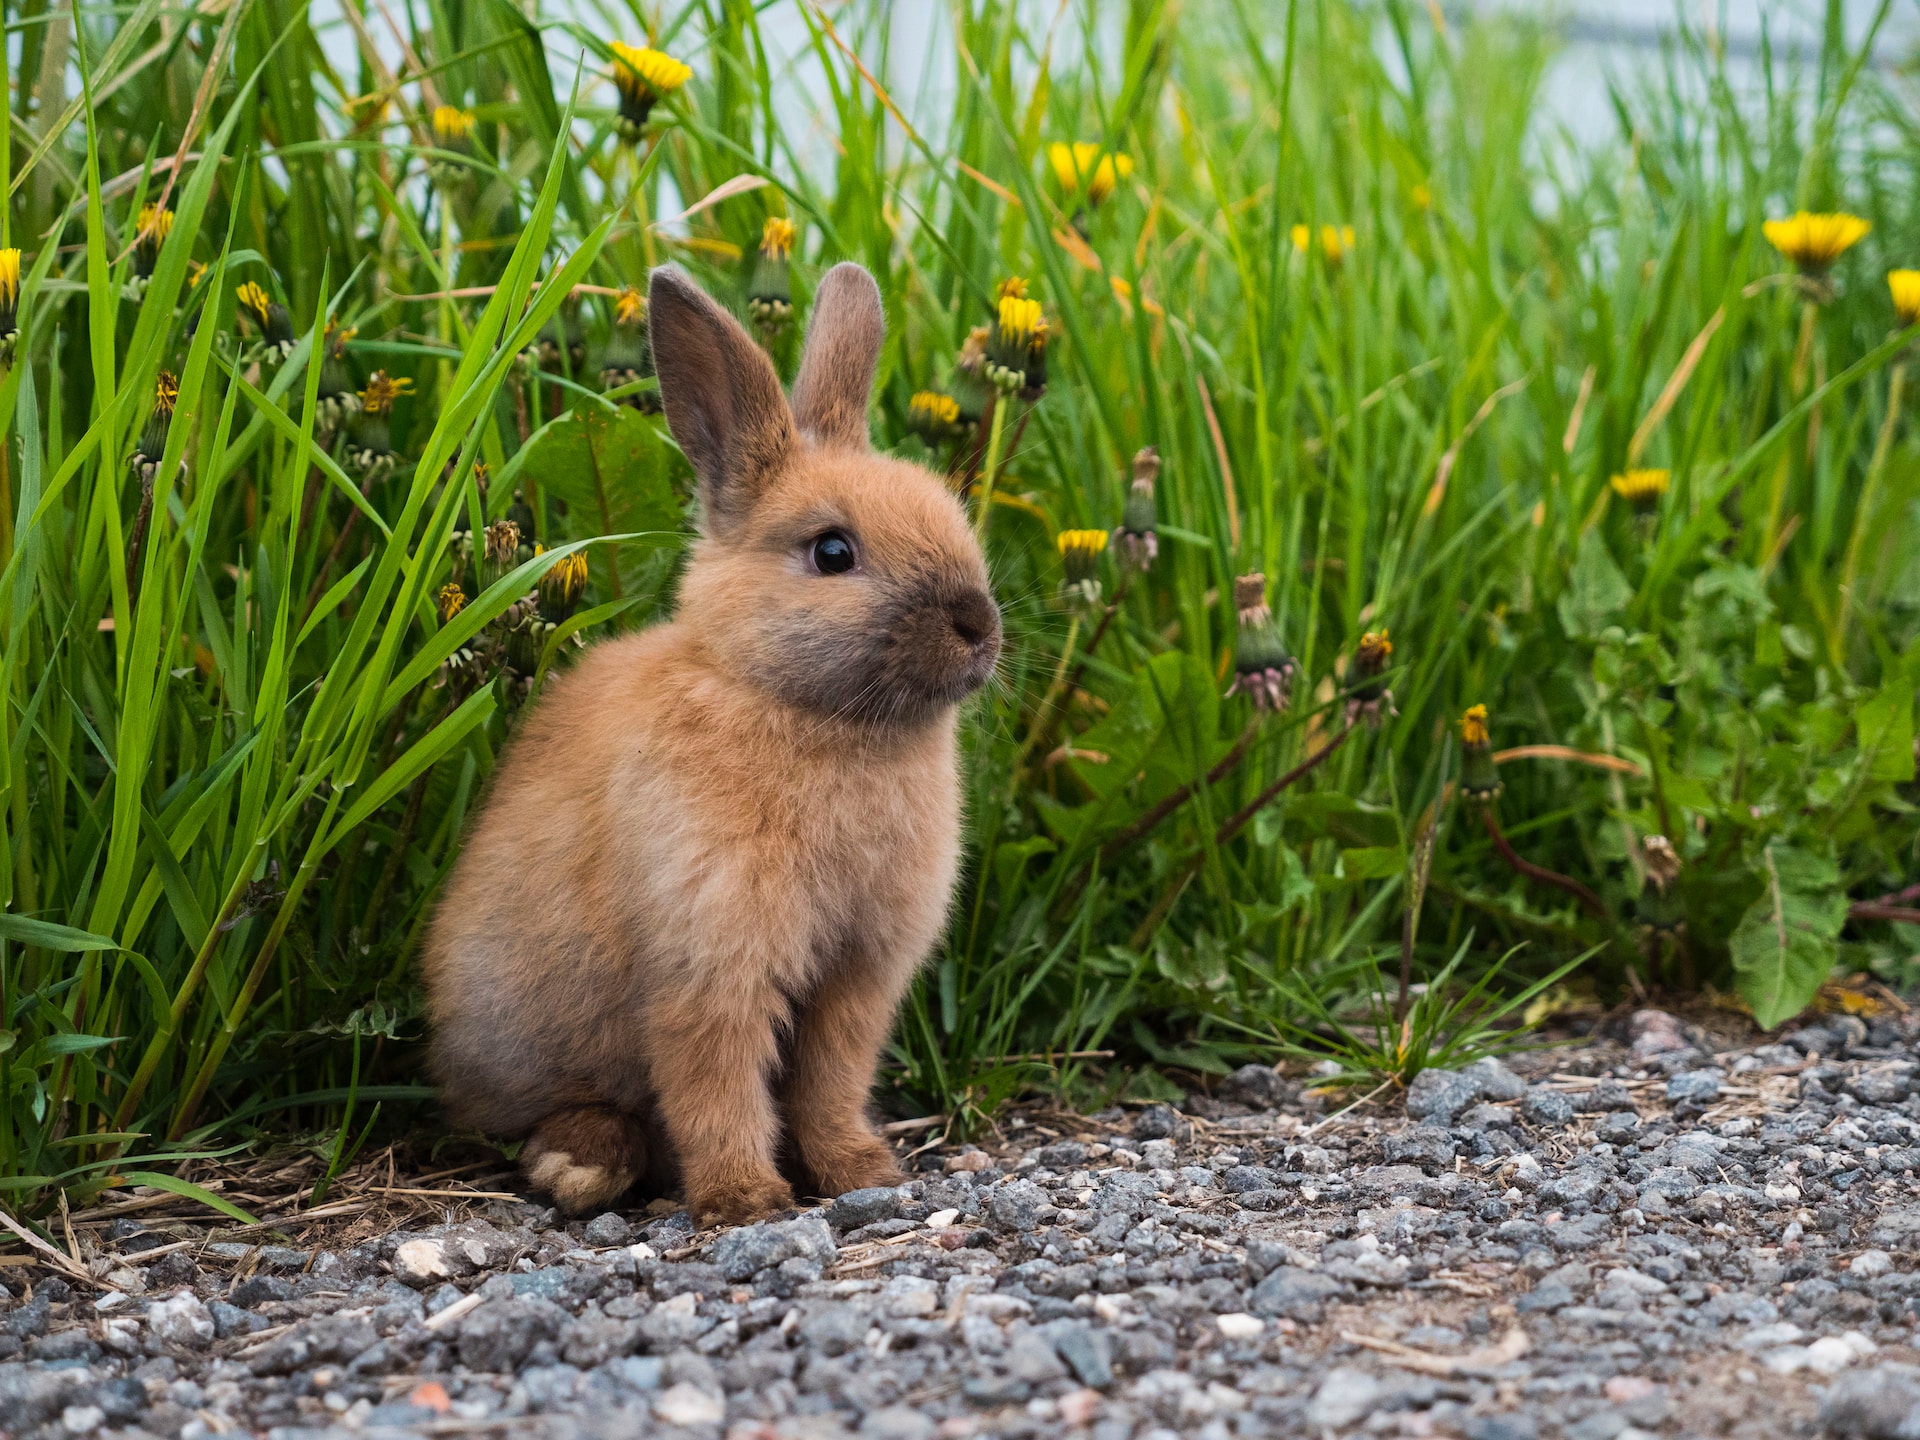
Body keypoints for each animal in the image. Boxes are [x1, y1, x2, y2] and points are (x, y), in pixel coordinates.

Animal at [424, 263, 1006, 1228]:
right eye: (833, 551)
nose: (979, 625)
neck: (797, 707)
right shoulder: (708, 963)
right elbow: (716, 1085)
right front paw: (745, 1200)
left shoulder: (856, 979)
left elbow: (828, 1082)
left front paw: (861, 1172)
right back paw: (579, 1164)